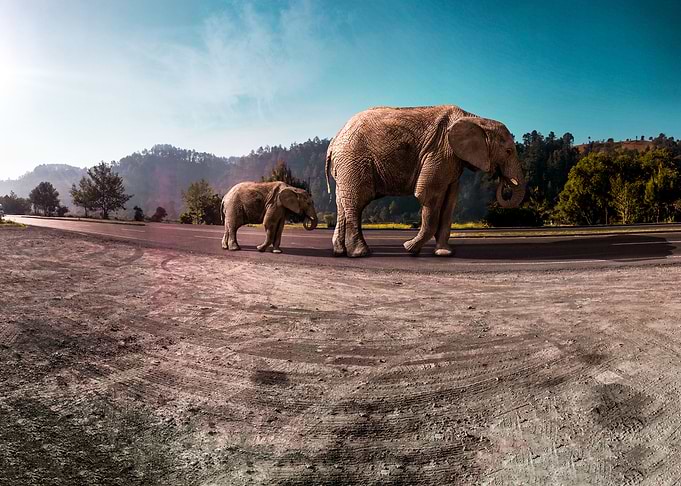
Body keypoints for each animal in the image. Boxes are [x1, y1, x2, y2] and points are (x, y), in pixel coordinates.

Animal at [325, 105, 526, 257]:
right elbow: (428, 195)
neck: (476, 118)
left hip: (345, 167)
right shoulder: (440, 152)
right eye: (508, 151)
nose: (501, 179)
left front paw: (444, 253)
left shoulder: (451, 159)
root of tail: (334, 141)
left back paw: (340, 252)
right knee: (357, 201)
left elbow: (450, 201)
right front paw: (410, 249)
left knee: (341, 203)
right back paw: (362, 253)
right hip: (354, 161)